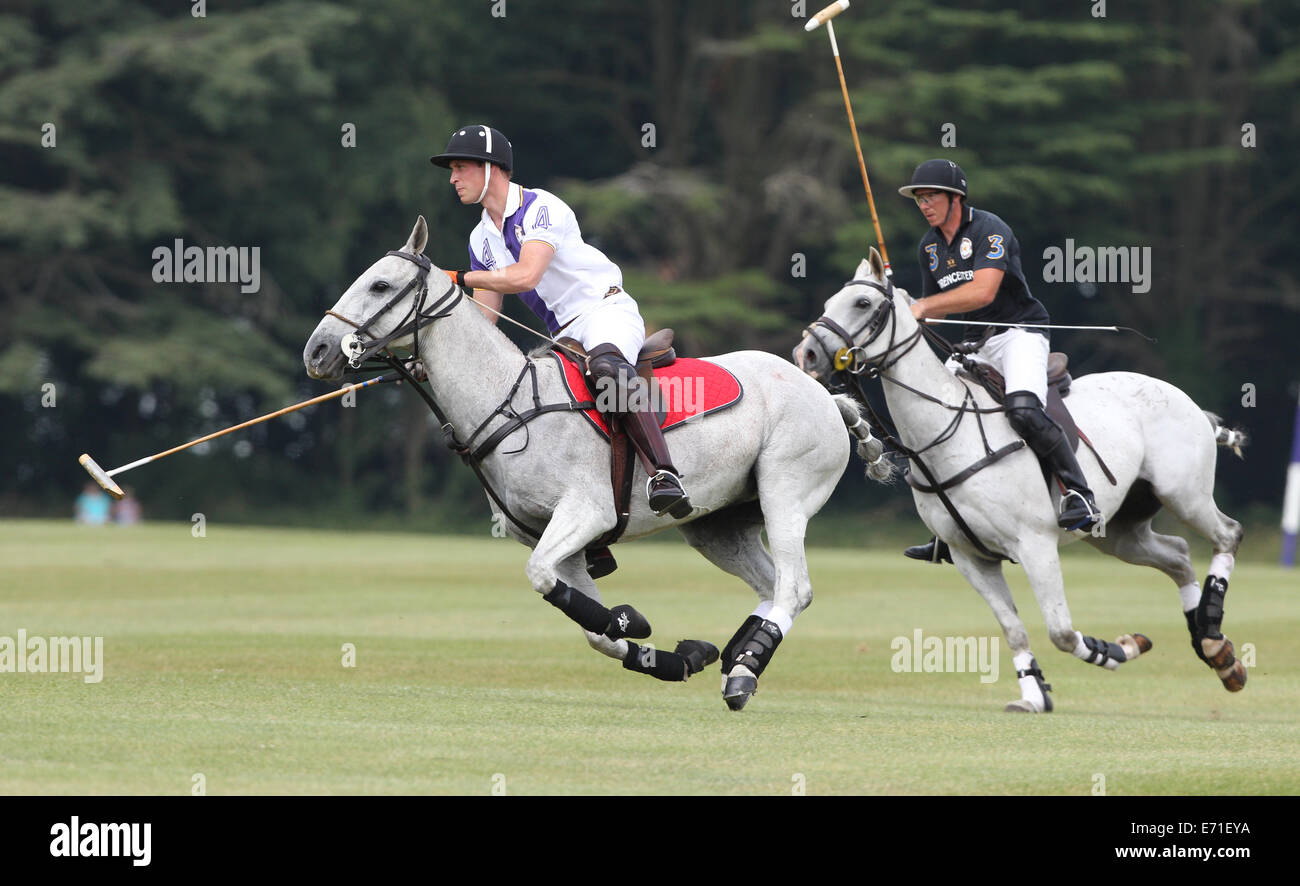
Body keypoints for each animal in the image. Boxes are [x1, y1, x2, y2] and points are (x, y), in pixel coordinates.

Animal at [305, 216, 852, 706]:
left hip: (784, 492)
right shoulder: (557, 542)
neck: (508, 404)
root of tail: (827, 395)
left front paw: (633, 619)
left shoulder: (586, 513)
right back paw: (739, 656)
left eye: (380, 284)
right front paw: (676, 654)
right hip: (717, 526)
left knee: (794, 588)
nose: (317, 351)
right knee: (770, 584)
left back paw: (742, 675)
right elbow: (591, 626)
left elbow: (546, 580)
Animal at [795, 248, 1242, 711]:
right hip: (1119, 531)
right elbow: (1014, 629)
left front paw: (1114, 651)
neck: (946, 432)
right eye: (829, 303)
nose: (806, 354)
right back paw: (1217, 651)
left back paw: (1213, 638)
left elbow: (1061, 631)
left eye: (863, 303)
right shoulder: (970, 556)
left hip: (1184, 494)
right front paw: (1034, 694)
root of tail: (1188, 401)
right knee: (1178, 555)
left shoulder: (1035, 544)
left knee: (1227, 533)